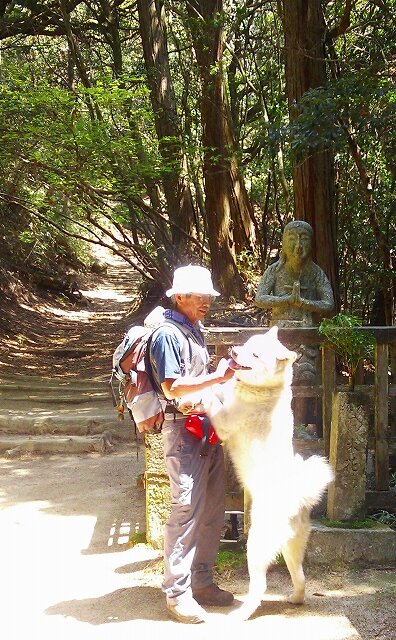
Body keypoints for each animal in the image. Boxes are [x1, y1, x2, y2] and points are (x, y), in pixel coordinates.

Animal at [209, 328, 332, 616]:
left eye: (254, 354)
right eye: (247, 344)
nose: (233, 351)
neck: (262, 390)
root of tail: (297, 498)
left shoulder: (223, 421)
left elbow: (209, 398)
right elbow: (219, 387)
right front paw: (217, 370)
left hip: (255, 545)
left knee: (259, 588)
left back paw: (241, 614)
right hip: (291, 548)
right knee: (301, 578)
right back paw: (295, 599)